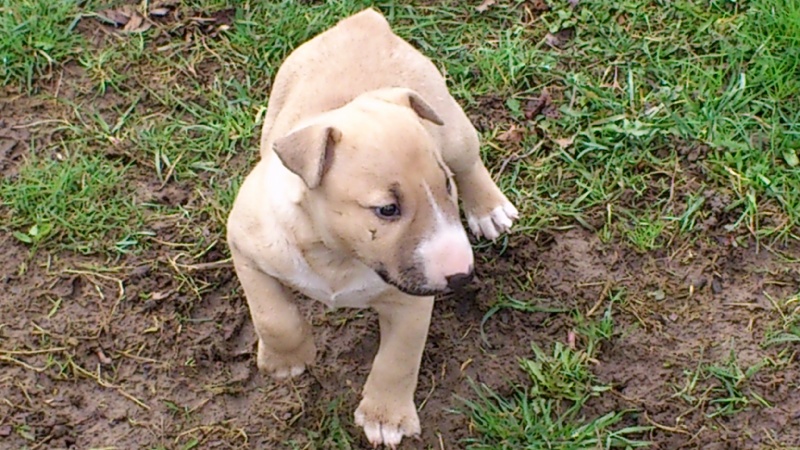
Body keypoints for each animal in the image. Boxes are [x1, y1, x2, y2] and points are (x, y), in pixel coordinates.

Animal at [227, 7, 520, 446]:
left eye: (445, 187)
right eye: (386, 209)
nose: (462, 276)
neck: (336, 256)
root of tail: (363, 21)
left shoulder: (412, 300)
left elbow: (397, 359)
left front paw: (386, 419)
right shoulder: (245, 247)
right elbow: (273, 317)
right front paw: (287, 361)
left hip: (450, 124)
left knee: (470, 159)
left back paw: (490, 209)